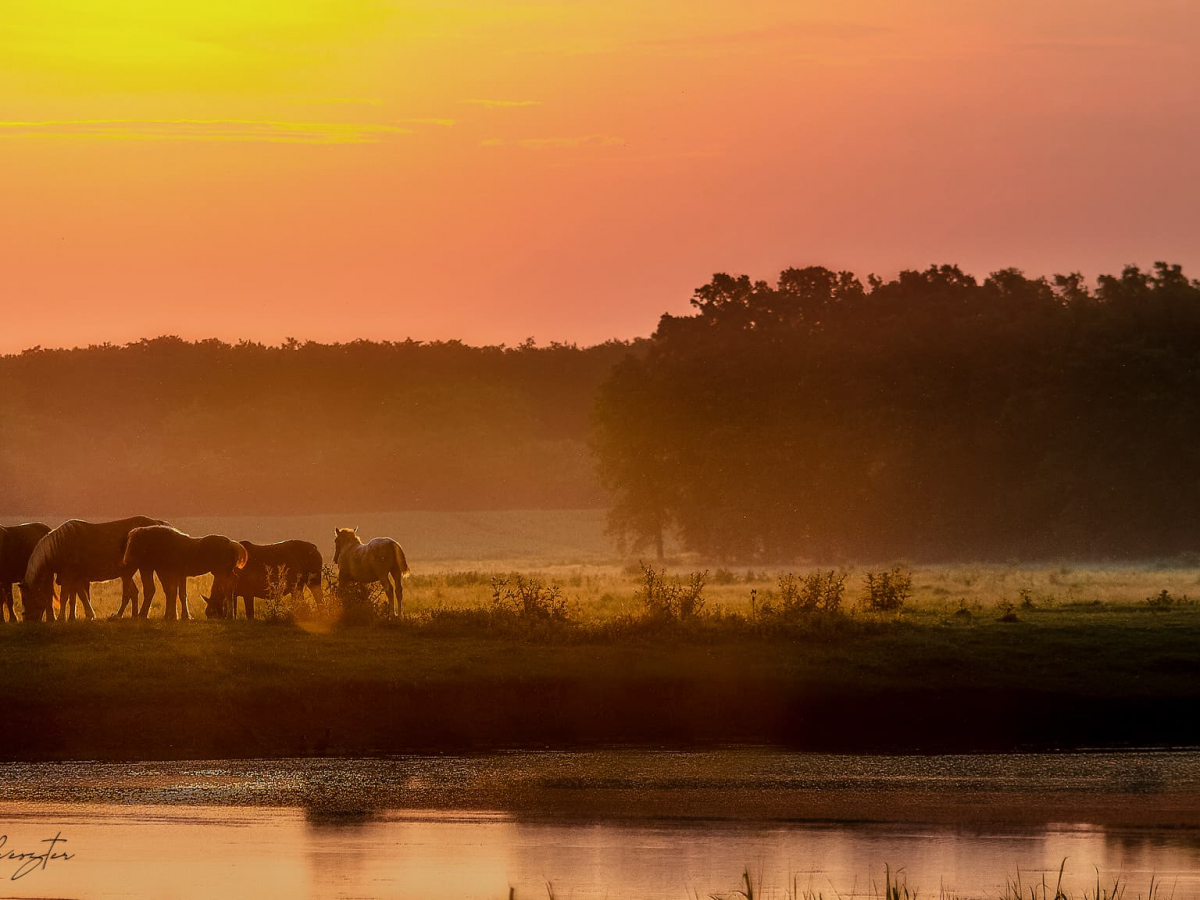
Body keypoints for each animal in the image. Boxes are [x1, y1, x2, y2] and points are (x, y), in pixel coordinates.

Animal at [22, 518, 166, 624]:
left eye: (28, 598)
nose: (27, 620)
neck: (60, 545)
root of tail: (156, 523)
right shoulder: (76, 577)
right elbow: (80, 596)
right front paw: (82, 616)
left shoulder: (69, 576)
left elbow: (65, 597)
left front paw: (62, 618)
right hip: (129, 572)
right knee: (135, 592)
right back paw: (134, 615)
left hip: (143, 568)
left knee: (142, 591)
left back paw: (129, 615)